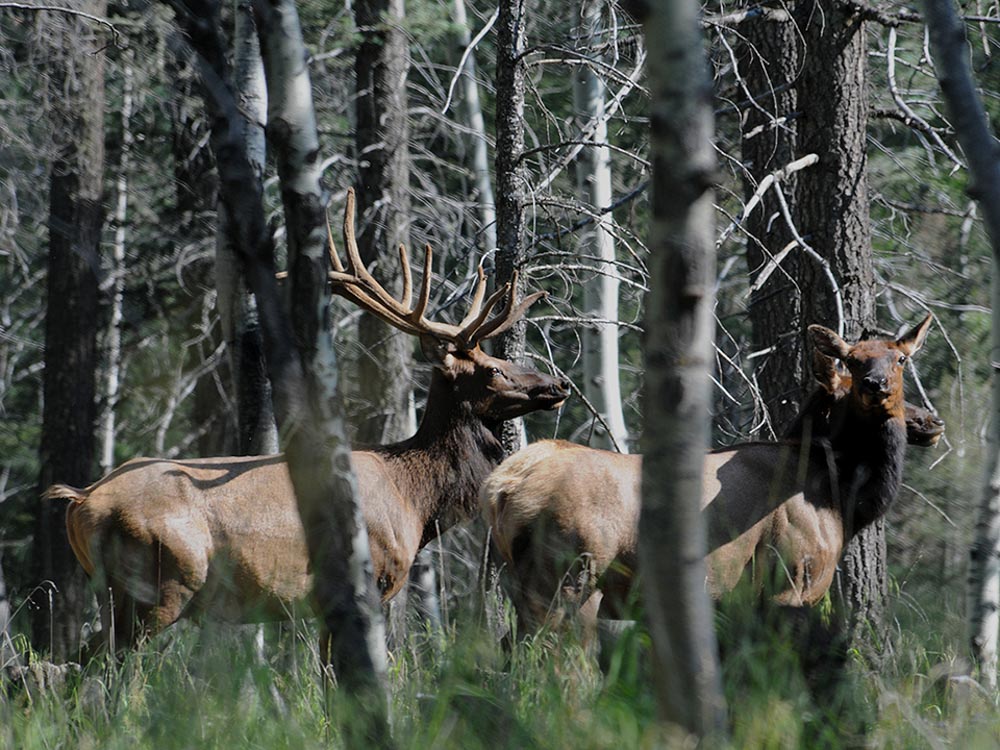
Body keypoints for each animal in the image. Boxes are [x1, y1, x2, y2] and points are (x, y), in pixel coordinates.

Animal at [52, 190, 571, 654]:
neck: (416, 500)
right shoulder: (370, 581)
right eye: (493, 369)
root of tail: (82, 501)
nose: (559, 383)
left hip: (116, 592)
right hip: (159, 585)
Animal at [481, 316, 934, 637]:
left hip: (522, 579)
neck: (840, 496)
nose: (931, 420)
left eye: (900, 358)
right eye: (854, 363)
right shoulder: (792, 580)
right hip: (570, 576)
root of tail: (502, 488)